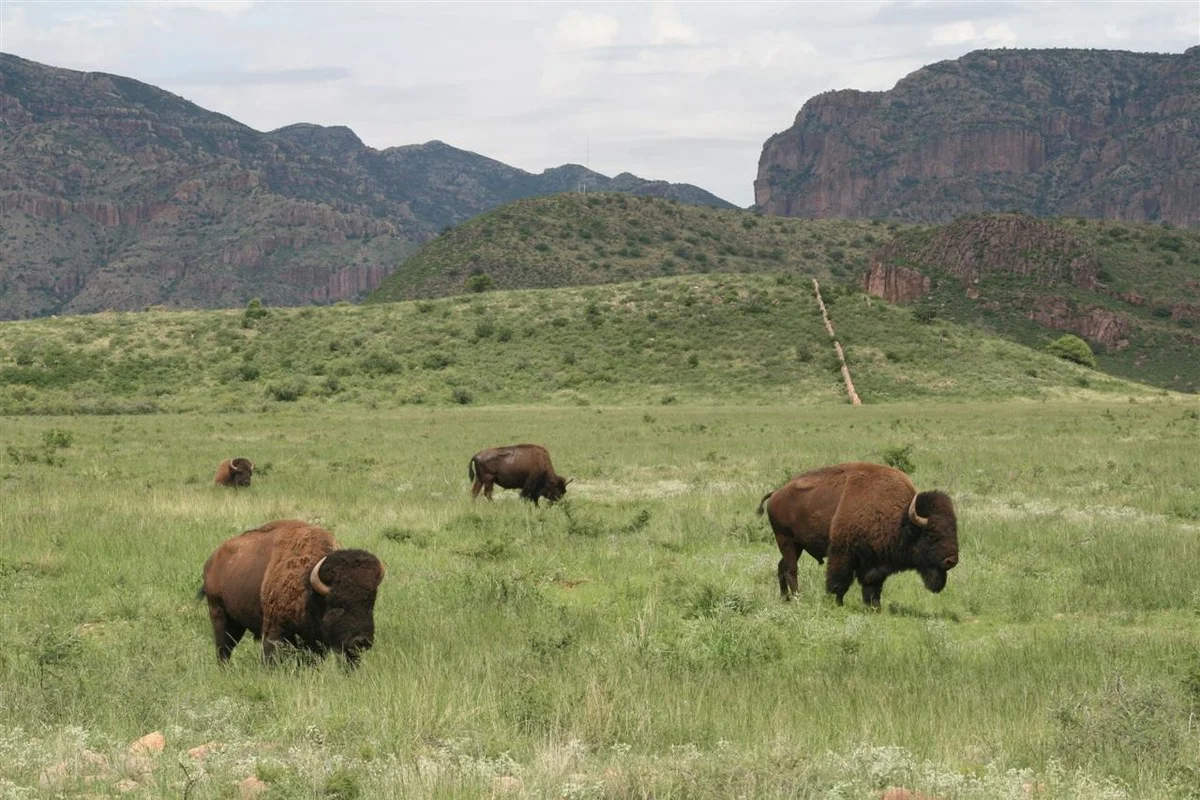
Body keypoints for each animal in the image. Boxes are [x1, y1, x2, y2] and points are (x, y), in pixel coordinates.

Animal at [199, 519, 384, 666]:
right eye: (338, 605)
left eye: (371, 603)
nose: (361, 641)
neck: (308, 585)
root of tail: (212, 560)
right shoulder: (274, 630)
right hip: (219, 612)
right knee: (223, 648)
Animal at [757, 462, 959, 608]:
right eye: (931, 535)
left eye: (954, 529)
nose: (951, 561)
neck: (901, 519)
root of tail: (776, 493)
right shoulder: (842, 553)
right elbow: (839, 581)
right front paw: (837, 603)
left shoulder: (875, 562)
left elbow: (873, 586)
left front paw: (874, 606)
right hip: (787, 541)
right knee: (791, 570)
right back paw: (798, 598)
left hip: (795, 546)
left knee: (781, 567)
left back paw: (785, 599)